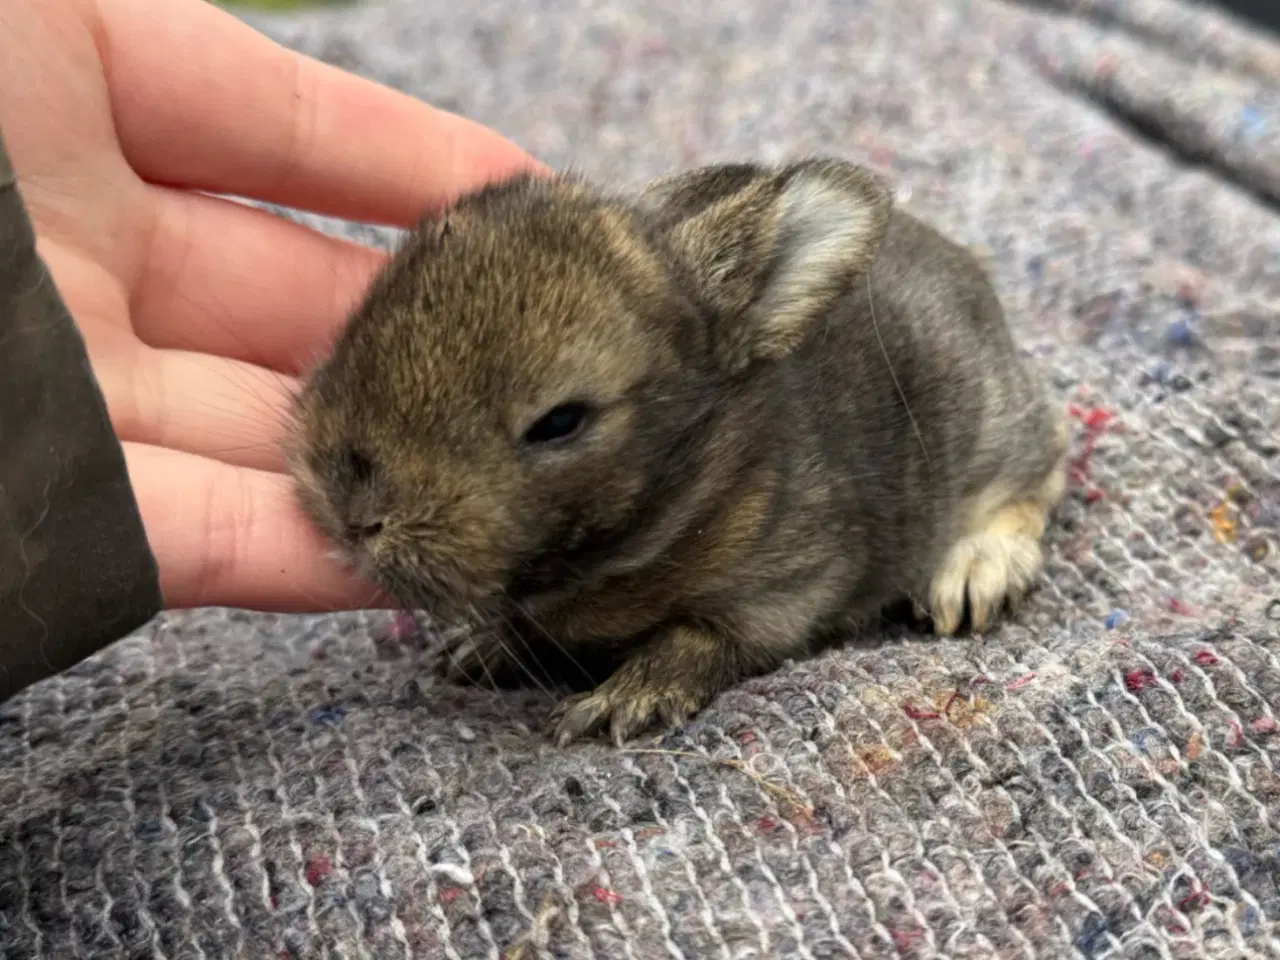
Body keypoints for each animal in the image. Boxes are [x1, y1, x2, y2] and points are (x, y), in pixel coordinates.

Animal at [288, 158, 1070, 747]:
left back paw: (974, 573)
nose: (354, 513)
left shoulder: (784, 592)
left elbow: (697, 639)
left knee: (1038, 475)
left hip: (996, 425)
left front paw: (619, 703)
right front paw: (480, 652)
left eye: (560, 422)